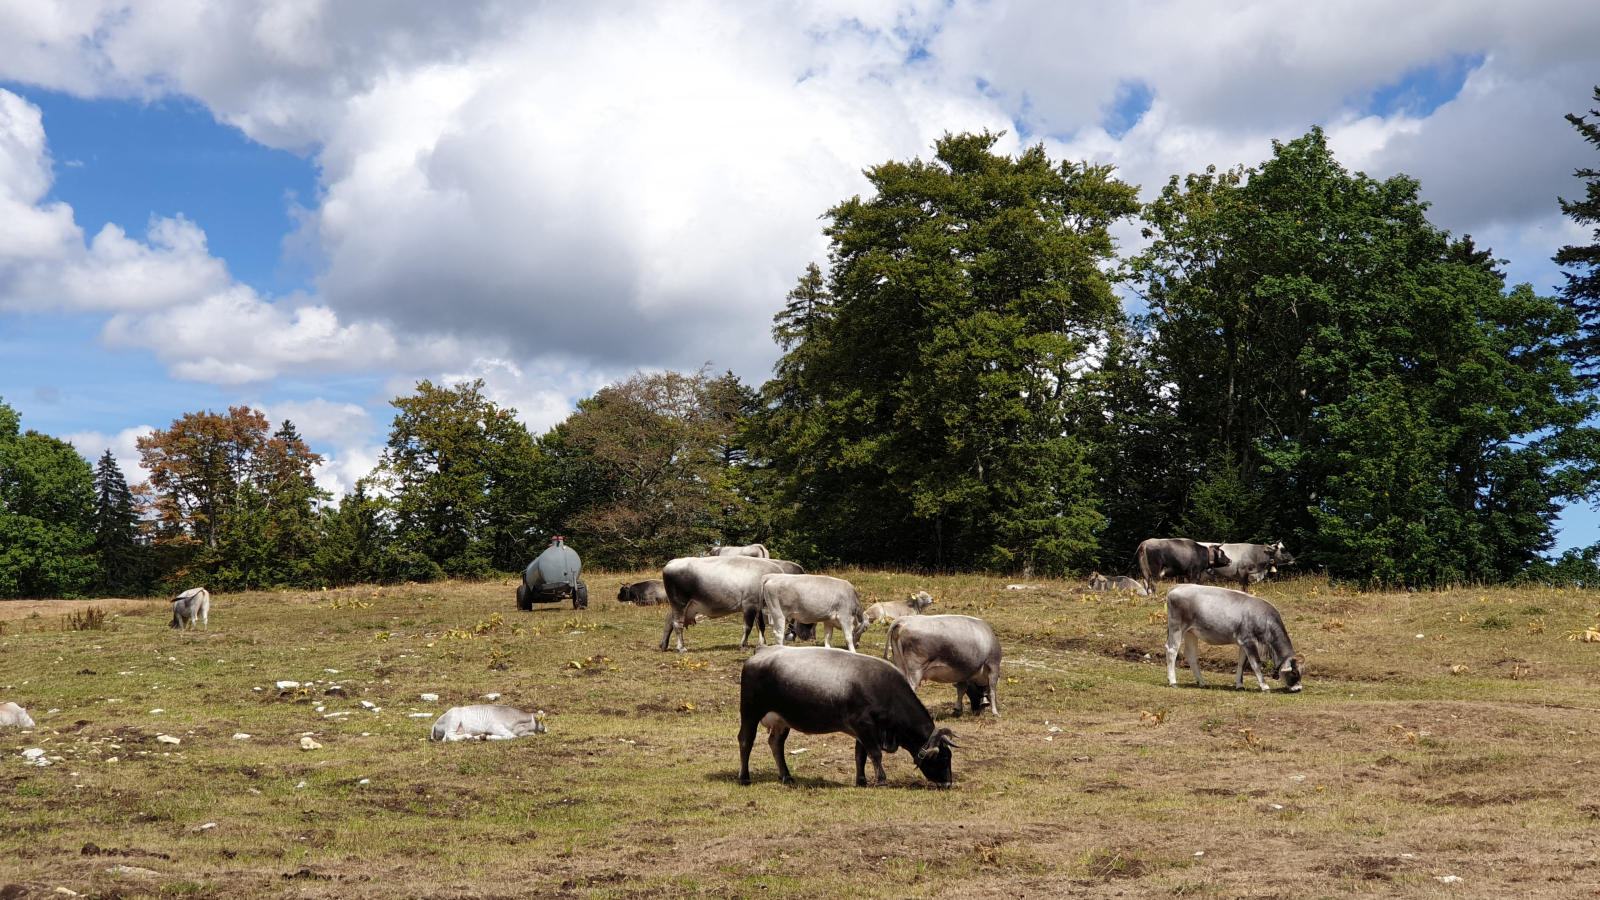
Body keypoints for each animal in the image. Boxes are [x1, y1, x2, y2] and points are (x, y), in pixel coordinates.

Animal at [662, 550, 806, 646]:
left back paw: (664, 645)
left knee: (668, 622)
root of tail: (673, 562)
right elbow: (747, 626)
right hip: (679, 603)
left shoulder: (758, 607)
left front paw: (762, 643)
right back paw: (681, 647)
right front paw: (744, 644)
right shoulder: (749, 604)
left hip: (676, 605)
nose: (808, 637)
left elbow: (761, 625)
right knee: (677, 624)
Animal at [739, 643, 960, 784]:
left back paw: (786, 776)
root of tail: (764, 650)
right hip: (750, 713)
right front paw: (881, 780)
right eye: (944, 759)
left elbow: (860, 755)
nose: (948, 783)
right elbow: (875, 753)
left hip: (781, 720)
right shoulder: (864, 725)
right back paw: (744, 777)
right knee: (746, 740)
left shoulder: (863, 730)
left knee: (776, 743)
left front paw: (861, 780)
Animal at [1171, 576, 1305, 688]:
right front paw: (1264, 686)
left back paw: (1202, 682)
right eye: (1294, 672)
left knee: (1191, 655)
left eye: (1302, 671)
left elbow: (1241, 663)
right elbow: (1256, 664)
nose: (1298, 689)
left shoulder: (1243, 643)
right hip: (1177, 628)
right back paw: (1173, 682)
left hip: (1190, 632)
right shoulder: (1249, 642)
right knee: (1172, 651)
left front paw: (1240, 685)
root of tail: (1177, 587)